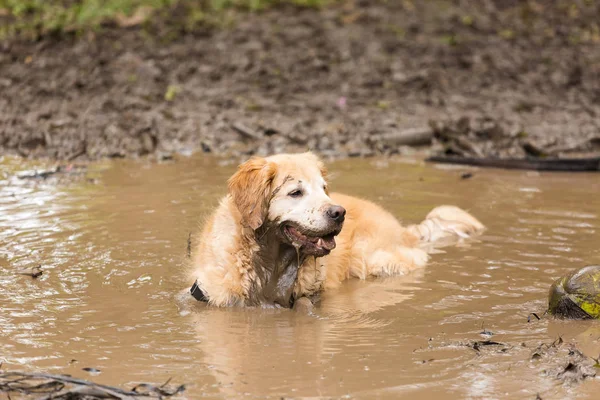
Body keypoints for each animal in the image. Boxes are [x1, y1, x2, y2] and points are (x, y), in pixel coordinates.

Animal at [190, 152, 486, 308]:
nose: (339, 213)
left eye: (323, 189)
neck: (272, 264)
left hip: (373, 259)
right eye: (296, 192)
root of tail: (402, 229)